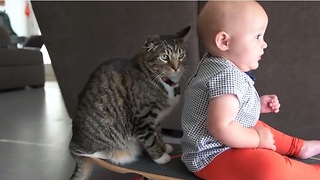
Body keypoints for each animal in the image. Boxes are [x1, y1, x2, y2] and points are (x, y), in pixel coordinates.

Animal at [69, 25, 190, 180]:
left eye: (181, 55)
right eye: (164, 57)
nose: (176, 67)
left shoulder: (157, 119)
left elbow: (158, 134)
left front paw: (164, 147)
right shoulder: (143, 117)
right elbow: (150, 139)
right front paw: (160, 157)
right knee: (89, 152)